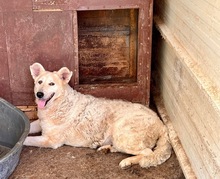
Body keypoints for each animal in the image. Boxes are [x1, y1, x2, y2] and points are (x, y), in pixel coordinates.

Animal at [24, 62, 172, 169]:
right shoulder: (40, 123)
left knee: (147, 153)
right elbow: (29, 127)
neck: (58, 104)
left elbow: (27, 140)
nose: (39, 94)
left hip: (122, 134)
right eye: (39, 82)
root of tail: (161, 123)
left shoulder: (50, 141)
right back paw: (106, 148)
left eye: (51, 84)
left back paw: (127, 161)